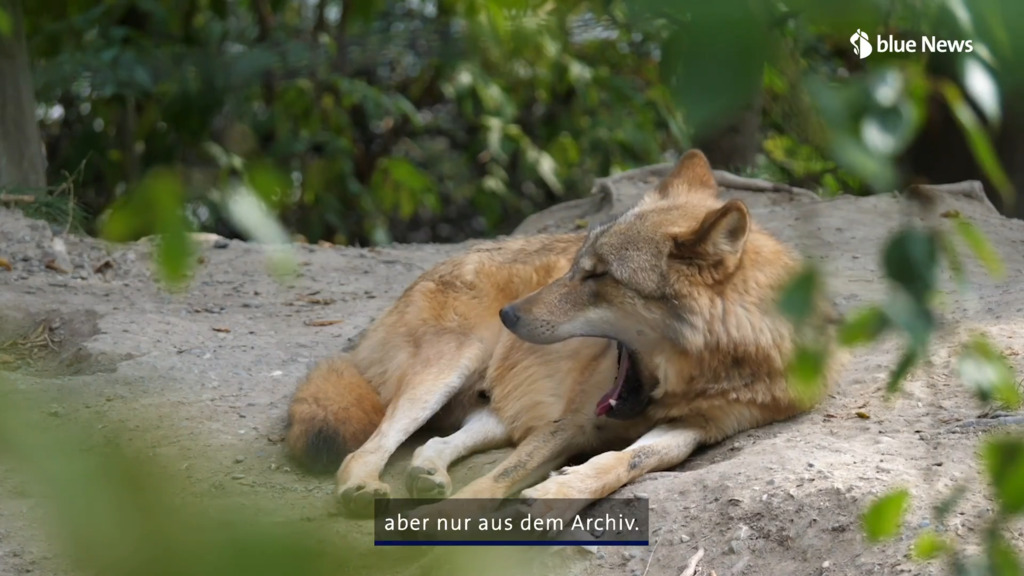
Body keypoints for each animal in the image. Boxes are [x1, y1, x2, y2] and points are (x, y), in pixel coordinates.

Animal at [285, 150, 839, 517]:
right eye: (576, 267)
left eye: (598, 276)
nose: (508, 315)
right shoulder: (570, 421)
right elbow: (493, 483)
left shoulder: (699, 428)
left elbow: (631, 459)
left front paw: (560, 493)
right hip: (444, 373)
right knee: (370, 447)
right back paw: (363, 484)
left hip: (499, 407)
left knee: (438, 442)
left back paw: (428, 473)